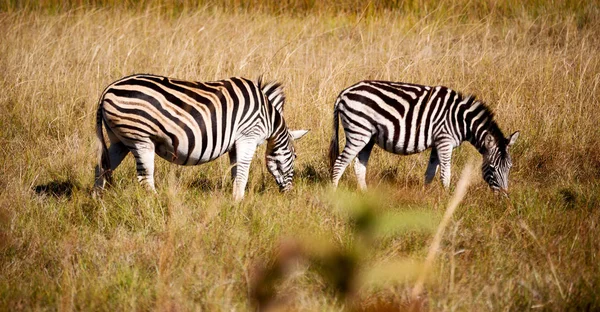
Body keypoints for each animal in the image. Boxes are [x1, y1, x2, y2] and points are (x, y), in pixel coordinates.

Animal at [95, 73, 310, 201]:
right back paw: (157, 203)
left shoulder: (235, 144)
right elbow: (243, 173)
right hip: (140, 139)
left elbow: (235, 172)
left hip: (119, 141)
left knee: (101, 167)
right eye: (295, 156)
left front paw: (234, 200)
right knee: (144, 178)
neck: (269, 117)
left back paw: (97, 200)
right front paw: (239, 202)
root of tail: (108, 90)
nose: (289, 195)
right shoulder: (248, 137)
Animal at [328, 80, 520, 193]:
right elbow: (445, 173)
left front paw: (426, 196)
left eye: (509, 167)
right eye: (492, 168)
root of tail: (344, 92)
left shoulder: (437, 143)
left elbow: (430, 172)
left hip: (368, 137)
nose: (504, 197)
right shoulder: (444, 140)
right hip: (358, 132)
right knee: (339, 163)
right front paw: (447, 199)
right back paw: (334, 194)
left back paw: (365, 196)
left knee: (359, 167)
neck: (461, 120)